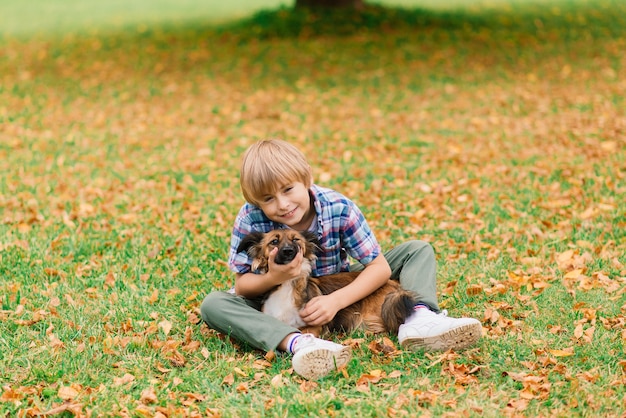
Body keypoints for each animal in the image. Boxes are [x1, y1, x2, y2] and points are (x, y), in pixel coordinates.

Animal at [234, 229, 414, 336]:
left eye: (296, 240)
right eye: (274, 242)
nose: (288, 251)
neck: (287, 286)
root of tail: (395, 286)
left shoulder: (315, 326)